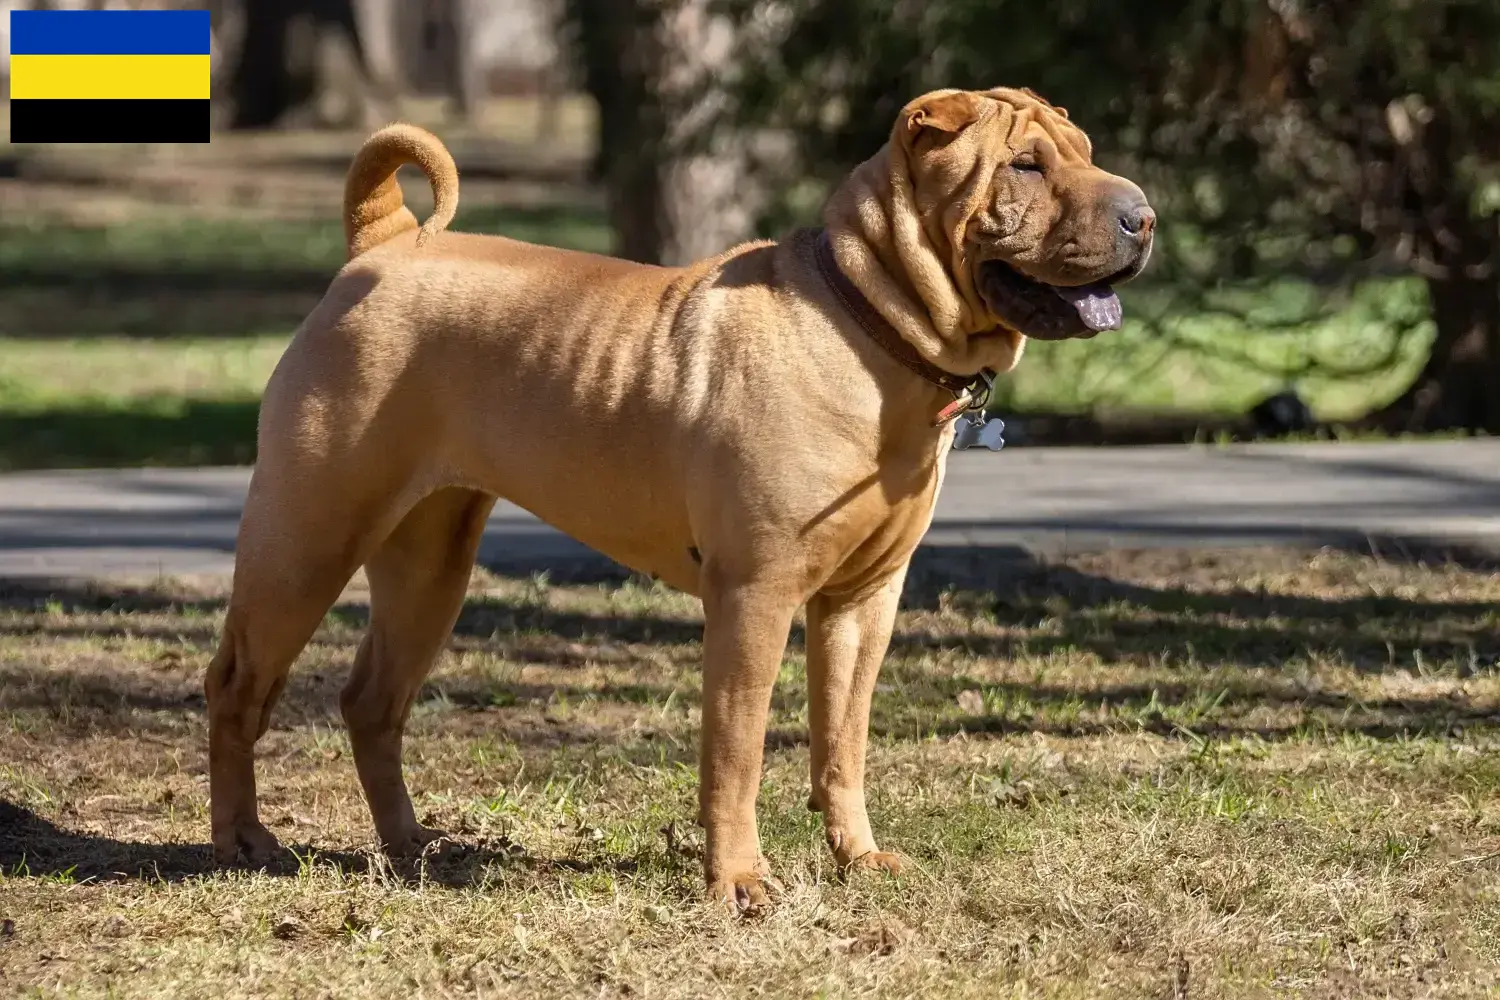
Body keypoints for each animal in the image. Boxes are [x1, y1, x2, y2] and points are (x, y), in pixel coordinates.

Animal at [205, 89, 1152, 911]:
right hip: (307, 540)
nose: (1143, 217)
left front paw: (859, 858)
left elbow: (841, 745)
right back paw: (243, 841)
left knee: (372, 701)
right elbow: (736, 752)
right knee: (237, 685)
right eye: (1025, 166)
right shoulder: (755, 597)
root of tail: (383, 243)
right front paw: (739, 881)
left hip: (431, 564)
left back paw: (410, 845)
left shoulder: (863, 601)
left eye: (1087, 153)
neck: (871, 329)